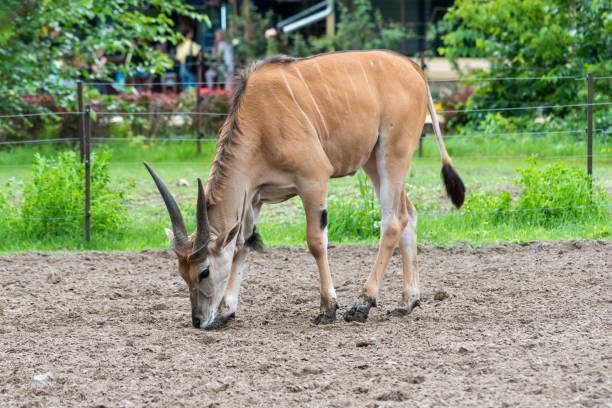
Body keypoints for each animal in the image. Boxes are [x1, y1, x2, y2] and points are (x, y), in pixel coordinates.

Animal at [146, 50, 464, 328]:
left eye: (204, 271)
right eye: (181, 273)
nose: (198, 321)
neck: (259, 122)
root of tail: (415, 69)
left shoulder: (313, 179)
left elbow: (315, 242)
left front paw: (327, 308)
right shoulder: (254, 198)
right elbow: (241, 246)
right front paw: (226, 311)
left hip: (393, 153)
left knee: (394, 220)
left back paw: (362, 304)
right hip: (373, 161)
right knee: (408, 214)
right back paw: (407, 302)